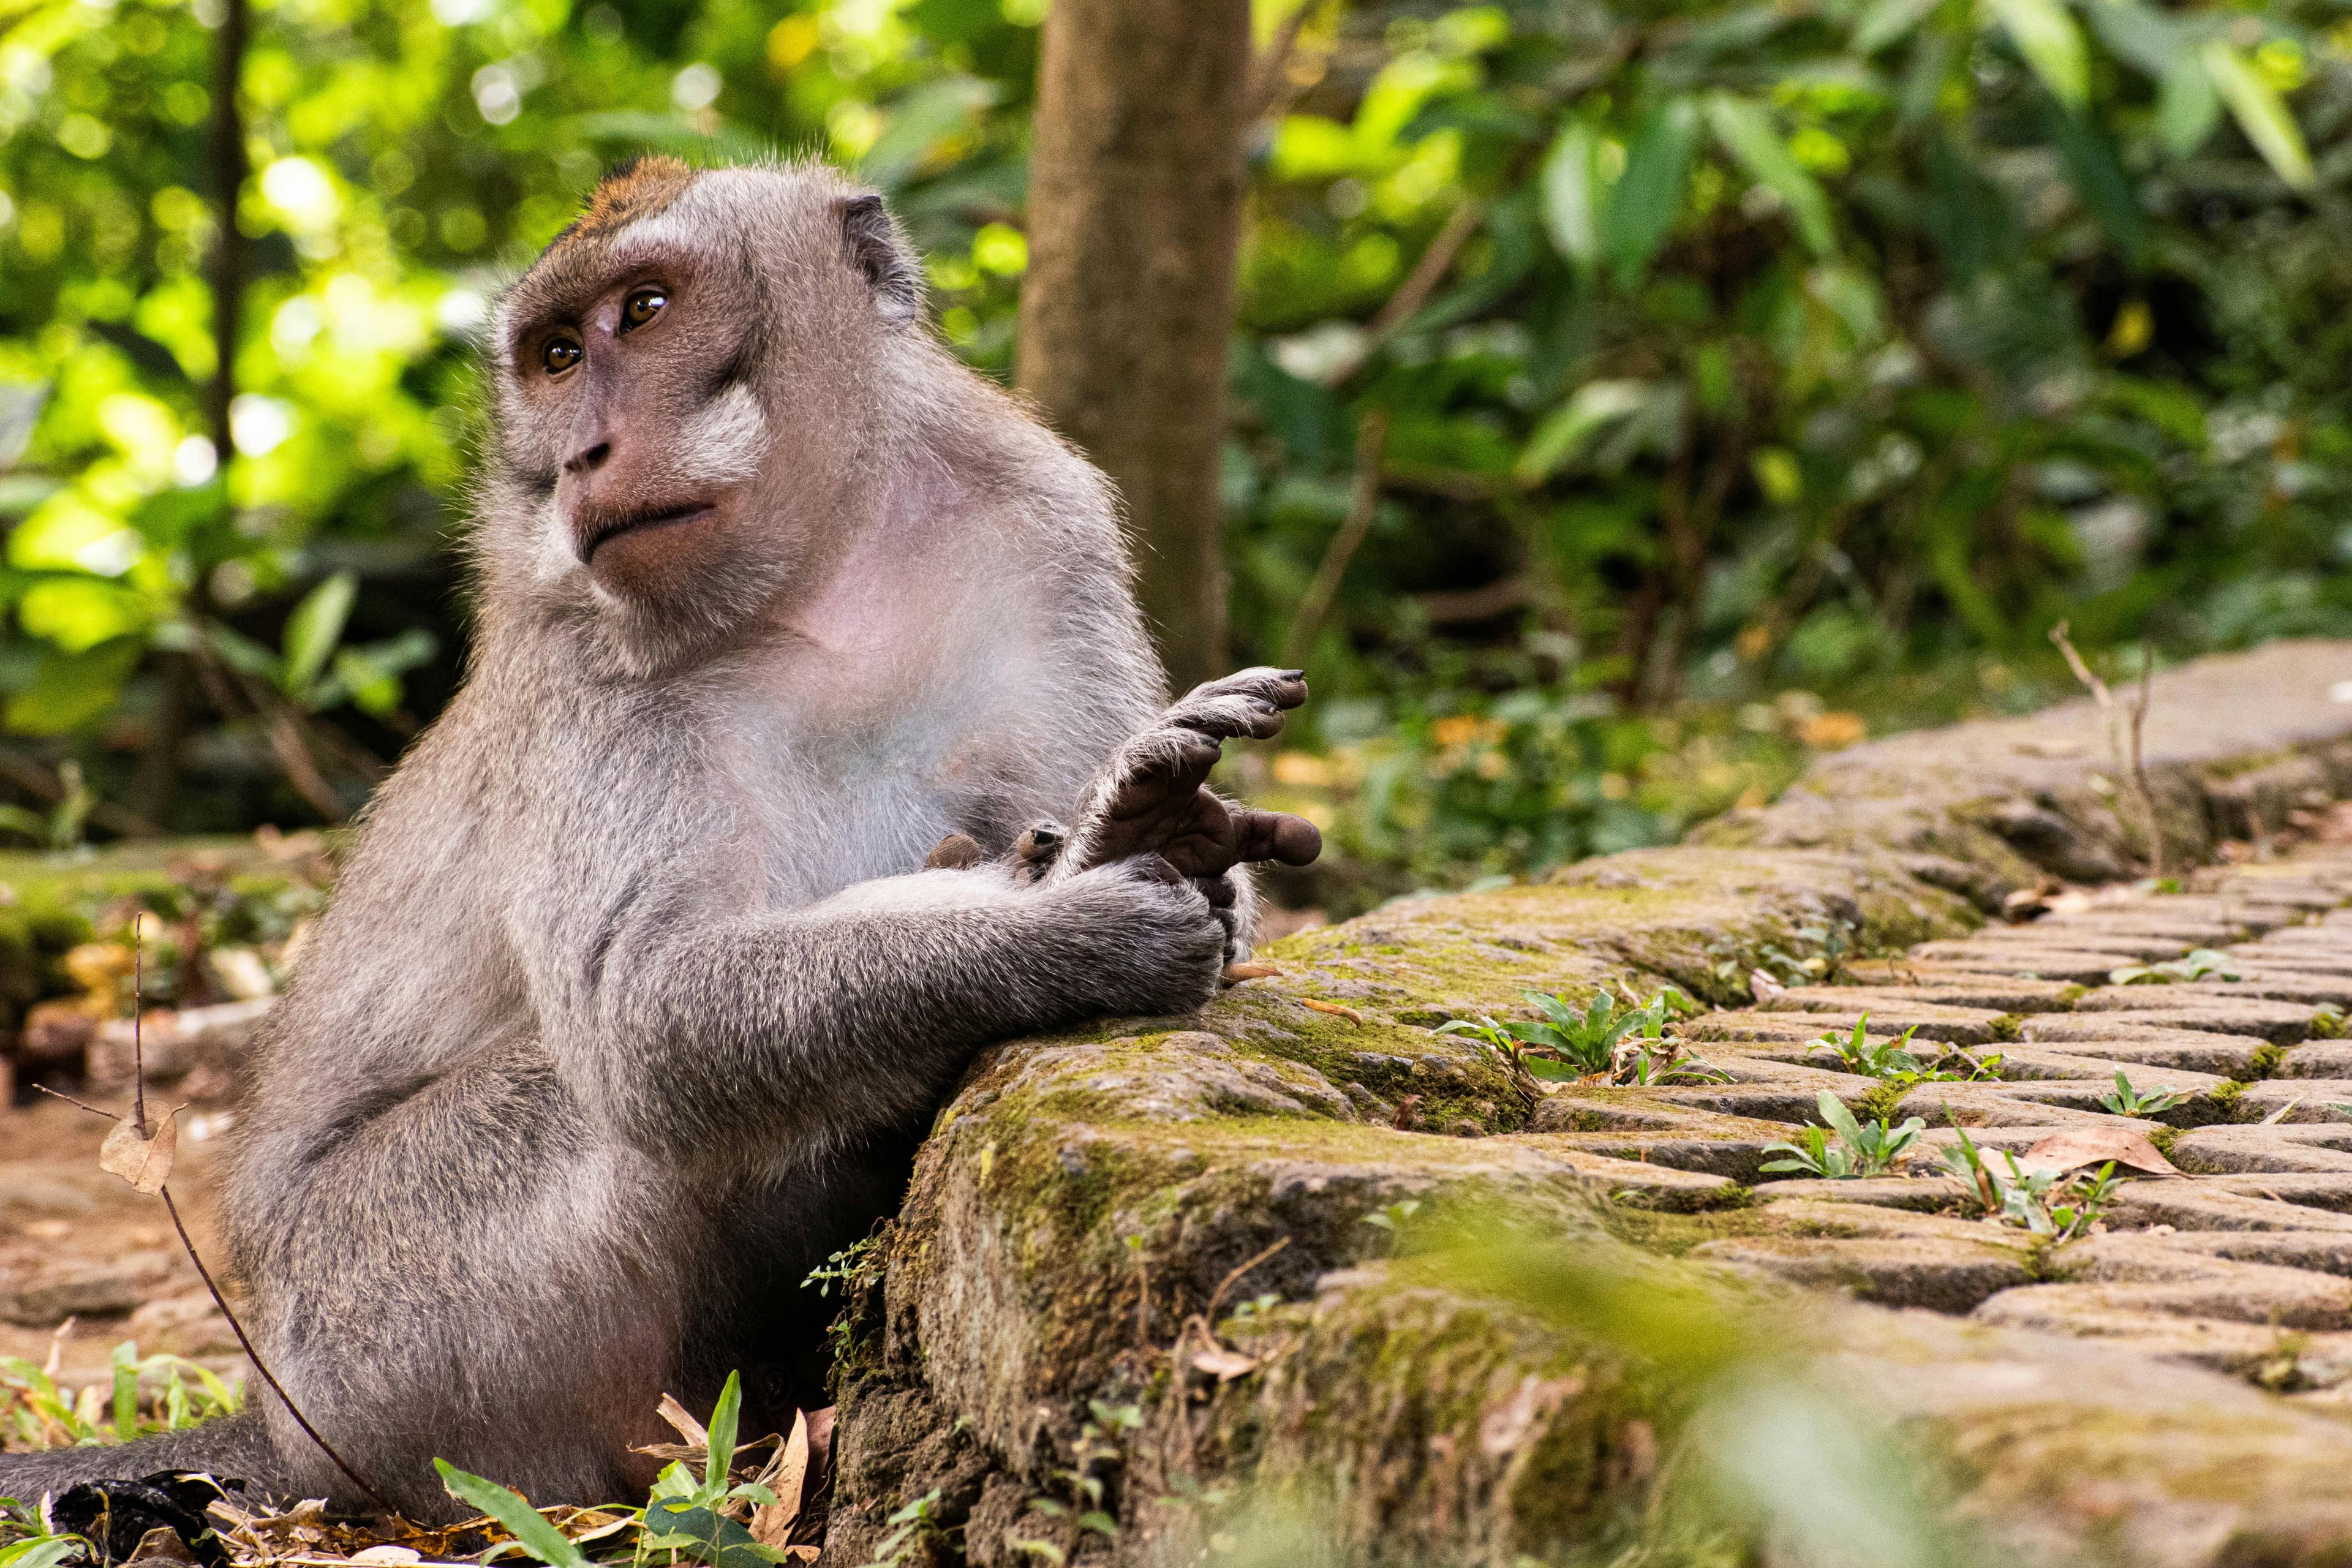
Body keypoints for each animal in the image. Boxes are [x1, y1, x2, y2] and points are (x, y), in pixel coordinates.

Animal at [0, 157, 1319, 1521]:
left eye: (644, 311)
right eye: (558, 354)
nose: (585, 449)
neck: (816, 574)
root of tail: (276, 1416)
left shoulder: (1041, 527)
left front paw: (1145, 827)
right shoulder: (580, 654)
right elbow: (646, 1017)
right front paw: (1077, 918)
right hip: (378, 1333)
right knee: (584, 1104)